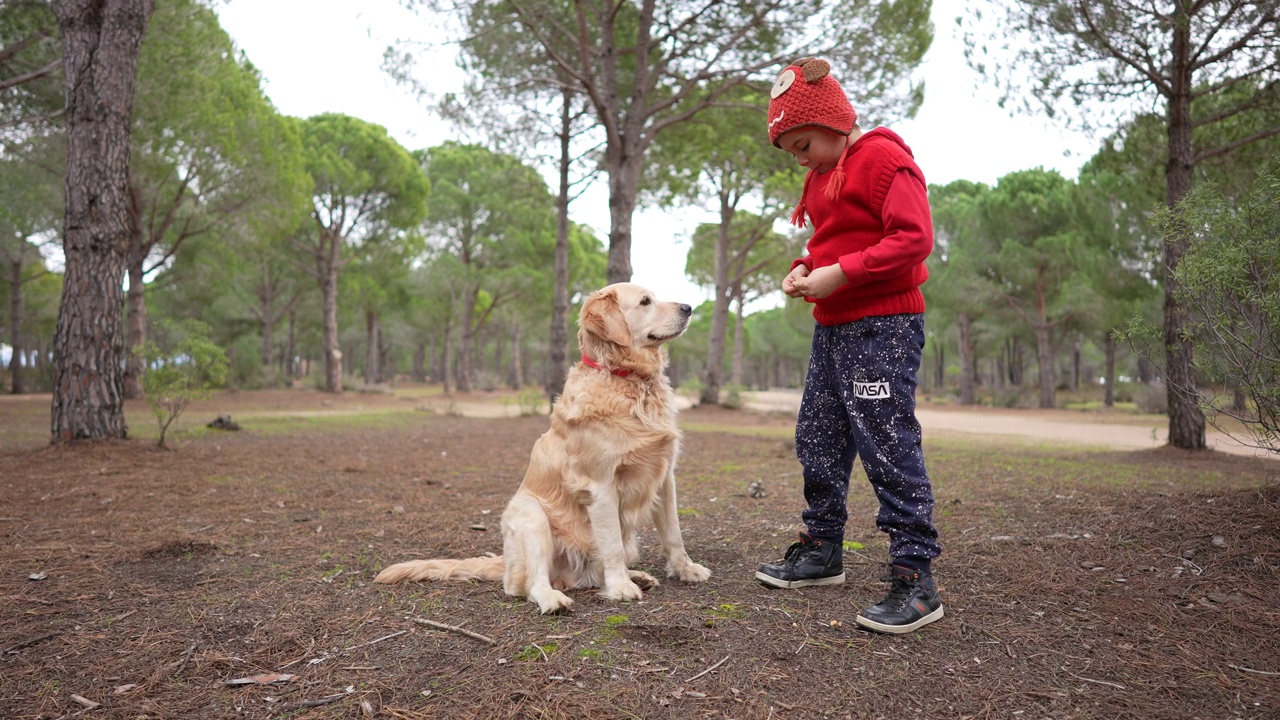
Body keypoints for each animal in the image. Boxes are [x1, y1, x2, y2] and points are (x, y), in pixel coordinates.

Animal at [373, 280, 711, 609]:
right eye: (644, 302)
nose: (688, 307)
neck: (626, 379)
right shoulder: (600, 485)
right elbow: (612, 543)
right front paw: (620, 588)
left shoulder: (665, 476)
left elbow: (674, 532)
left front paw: (685, 570)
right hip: (530, 516)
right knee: (527, 584)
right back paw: (554, 598)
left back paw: (636, 575)